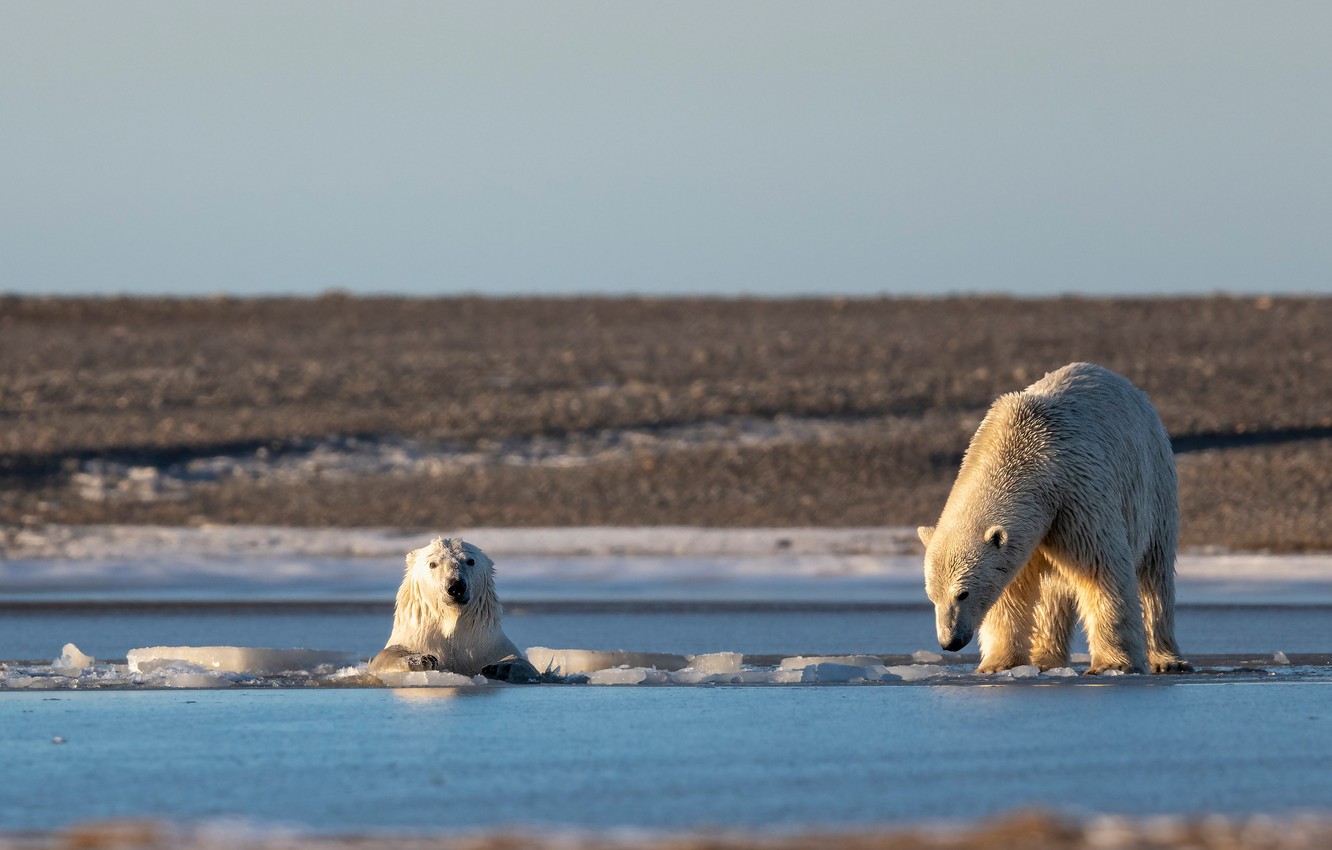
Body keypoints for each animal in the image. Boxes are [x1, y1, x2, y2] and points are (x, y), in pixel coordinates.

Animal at [369, 537, 541, 683]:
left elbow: (527, 665)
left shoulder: (488, 647)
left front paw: (500, 667)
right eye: (432, 564)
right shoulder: (414, 638)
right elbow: (383, 657)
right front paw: (423, 659)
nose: (456, 587)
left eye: (470, 561)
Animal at [918, 362, 1190, 675]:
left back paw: (1167, 659)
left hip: (1153, 485)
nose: (950, 642)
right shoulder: (1033, 529)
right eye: (932, 596)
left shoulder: (1075, 497)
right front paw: (998, 664)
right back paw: (1046, 659)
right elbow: (1010, 591)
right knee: (1053, 592)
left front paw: (1112, 664)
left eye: (962, 593)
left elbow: (1101, 570)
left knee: (1154, 574)